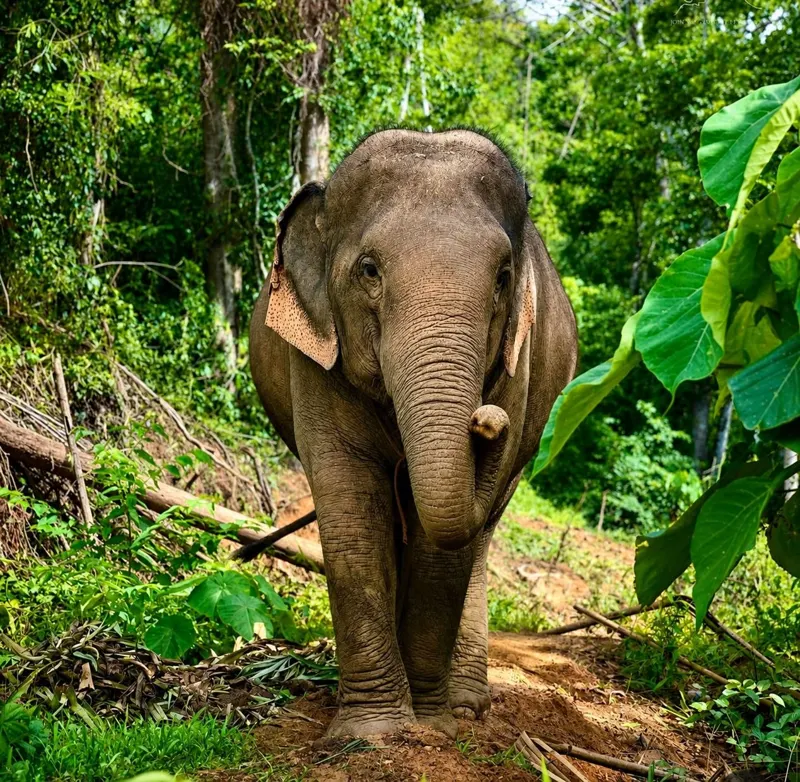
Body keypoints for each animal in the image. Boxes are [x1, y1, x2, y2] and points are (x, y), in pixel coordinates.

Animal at [249, 128, 578, 739]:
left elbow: (443, 545)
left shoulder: (518, 370)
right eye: (369, 270)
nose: (487, 420)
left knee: (481, 537)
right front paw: (373, 732)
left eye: (503, 278)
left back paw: (468, 706)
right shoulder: (316, 356)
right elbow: (351, 506)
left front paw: (432, 725)